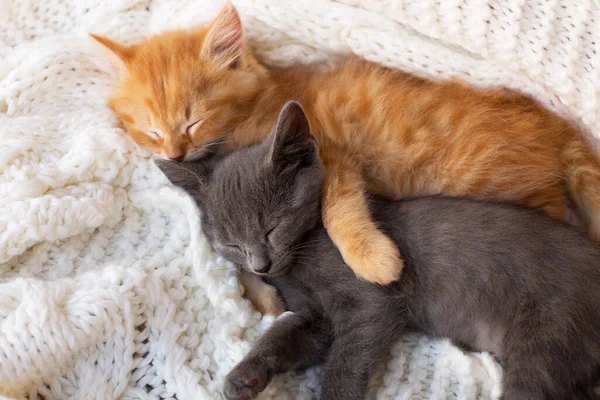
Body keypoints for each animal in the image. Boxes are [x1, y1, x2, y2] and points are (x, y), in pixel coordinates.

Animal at [91, 3, 600, 316]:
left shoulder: (332, 156)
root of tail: (558, 125)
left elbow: (337, 212)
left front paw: (373, 260)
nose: (173, 152)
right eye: (150, 129)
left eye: (193, 120)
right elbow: (234, 255)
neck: (258, 106)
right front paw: (262, 296)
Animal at [157, 101, 600, 400]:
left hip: (549, 334)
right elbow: (284, 332)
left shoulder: (370, 304)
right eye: (230, 243)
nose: (260, 265)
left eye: (272, 227)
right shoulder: (316, 318)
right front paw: (246, 375)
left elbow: (345, 358)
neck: (297, 263)